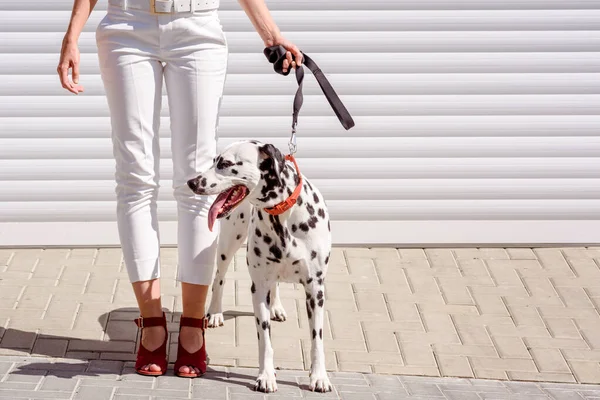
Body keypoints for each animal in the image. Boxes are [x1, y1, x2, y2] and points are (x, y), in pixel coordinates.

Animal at [188, 139, 332, 392]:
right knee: (219, 278)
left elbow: (317, 339)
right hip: (228, 243)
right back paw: (215, 313)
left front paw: (319, 376)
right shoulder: (259, 288)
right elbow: (264, 340)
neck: (283, 216)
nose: (192, 182)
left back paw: (277, 307)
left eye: (225, 164)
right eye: (214, 161)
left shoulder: (316, 290)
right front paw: (266, 376)